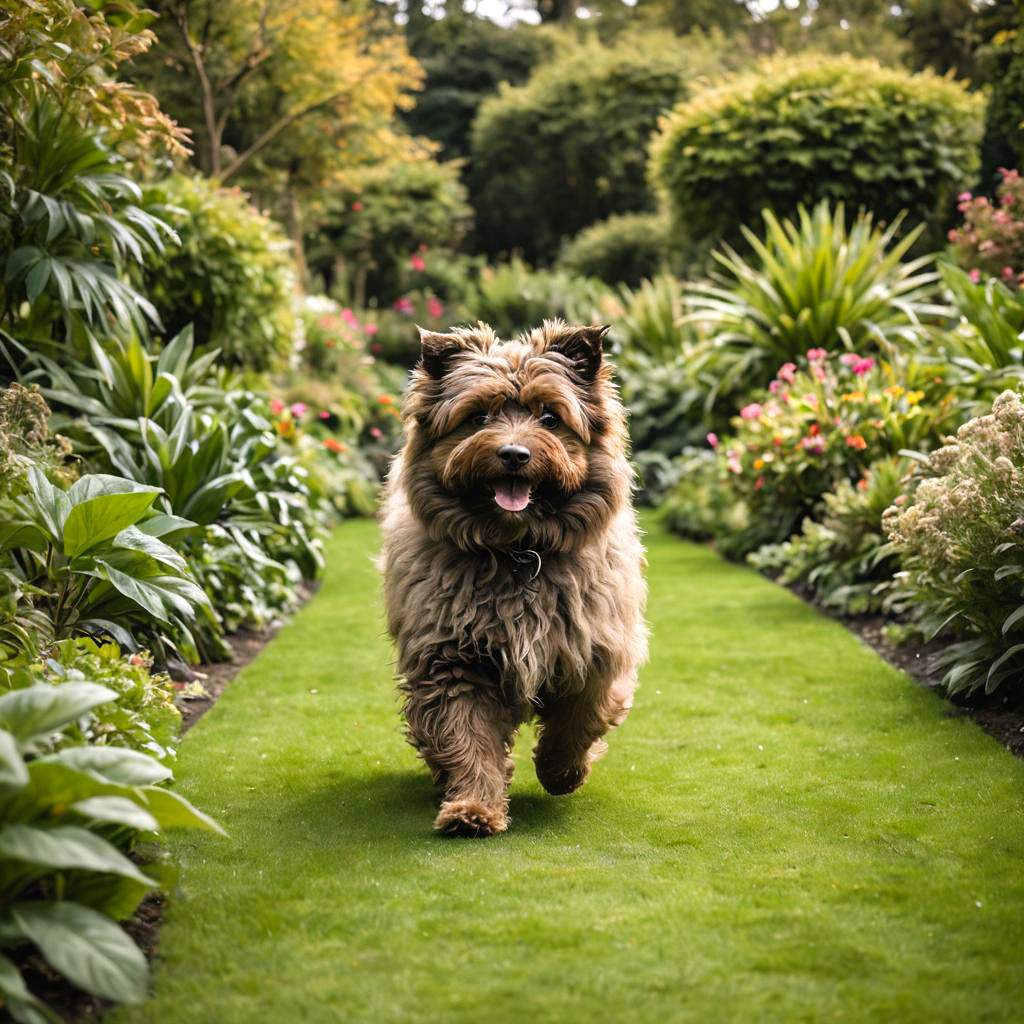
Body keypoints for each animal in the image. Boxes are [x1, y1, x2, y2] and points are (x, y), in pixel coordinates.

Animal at [376, 321, 647, 839]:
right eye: (479, 416)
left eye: (550, 417)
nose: (514, 454)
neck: (518, 553)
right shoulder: (452, 662)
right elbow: (466, 739)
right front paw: (473, 807)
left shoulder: (596, 654)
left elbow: (578, 722)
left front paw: (562, 773)